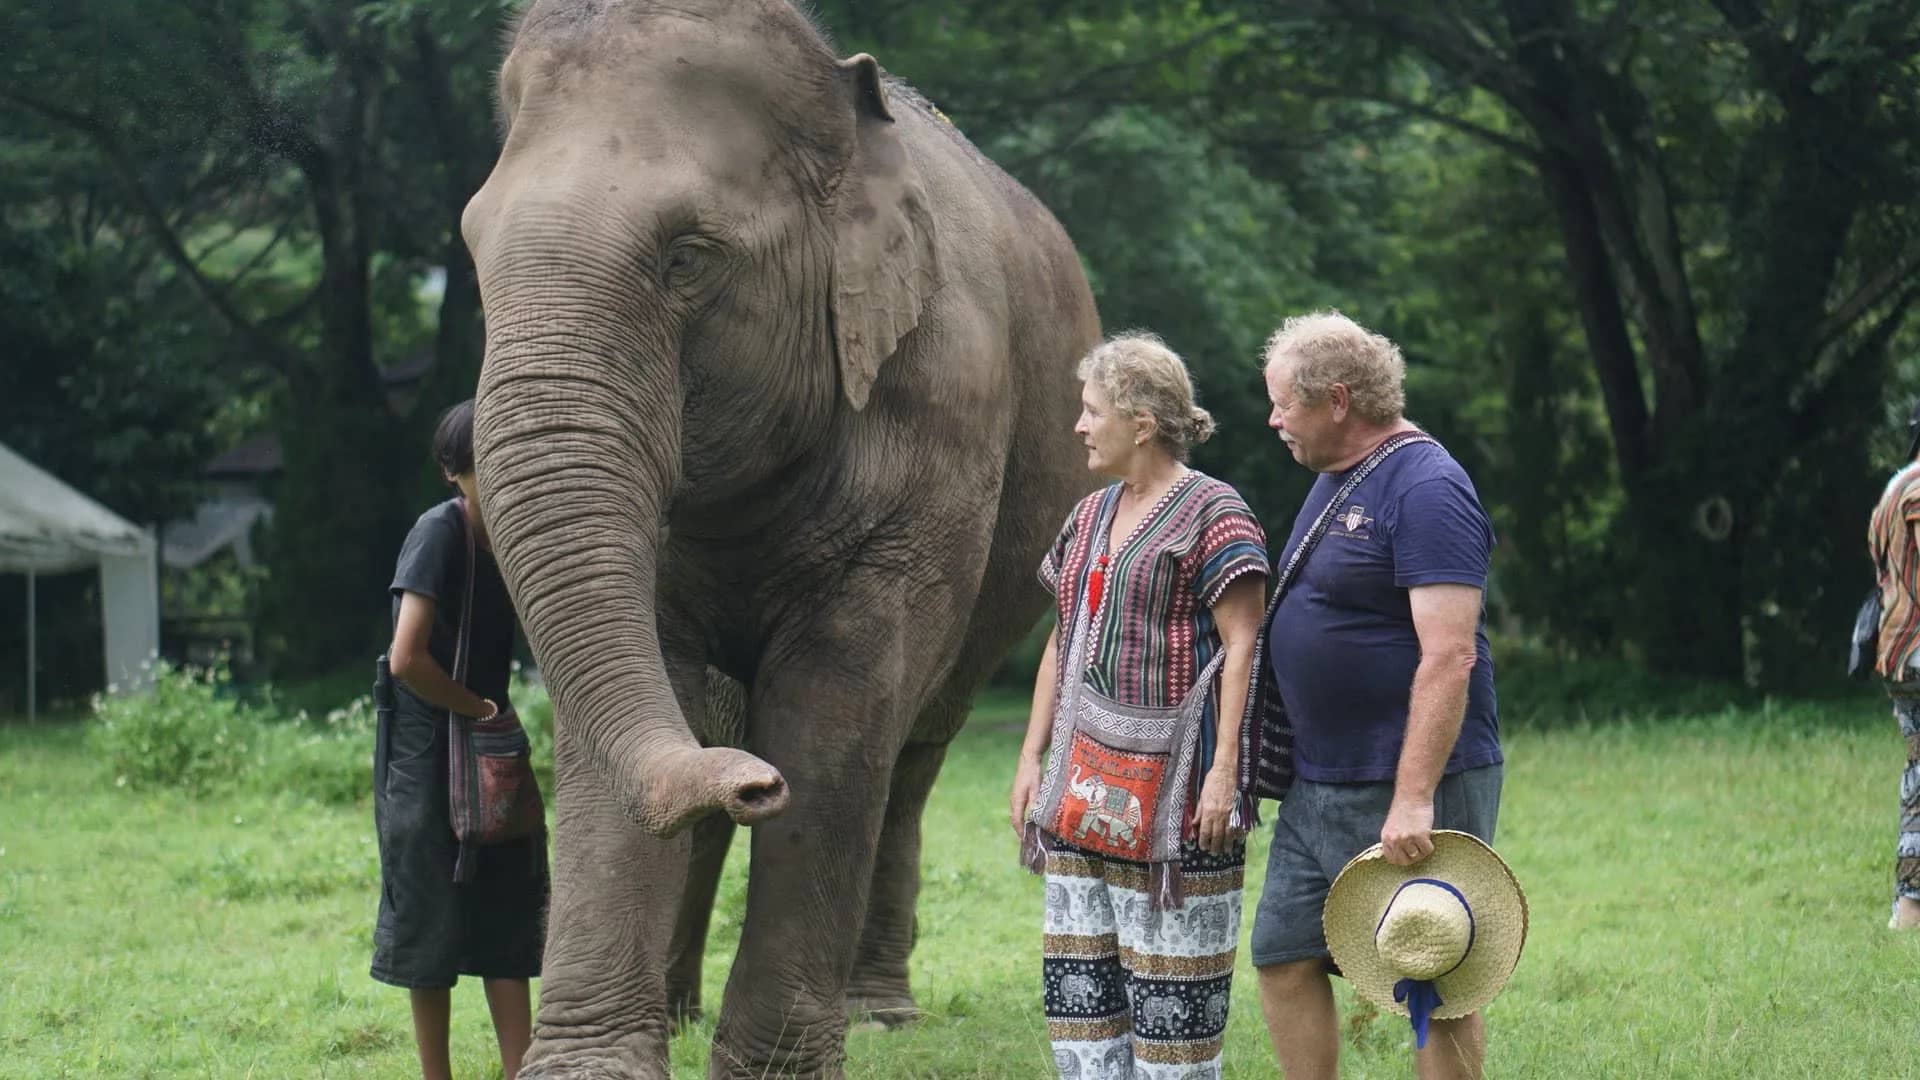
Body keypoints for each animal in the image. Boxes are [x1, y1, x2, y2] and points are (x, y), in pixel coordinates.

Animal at [461, 1, 1098, 1077]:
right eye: (470, 253)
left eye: (686, 259)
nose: (756, 788)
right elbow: (647, 691)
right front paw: (594, 1066)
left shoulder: (940, 418)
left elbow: (839, 705)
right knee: (717, 719)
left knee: (913, 753)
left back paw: (877, 1011)